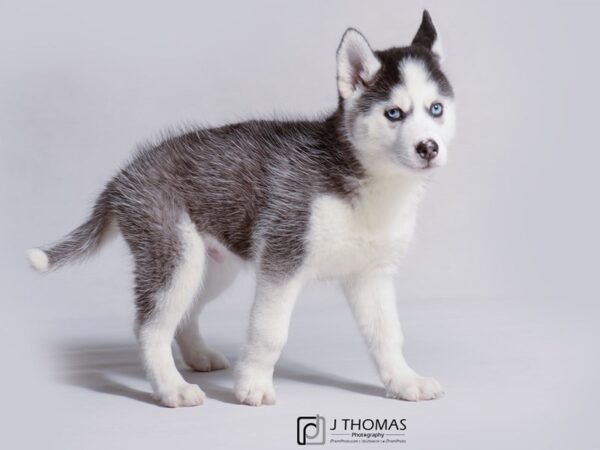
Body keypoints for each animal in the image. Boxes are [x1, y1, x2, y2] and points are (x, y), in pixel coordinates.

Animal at [24, 10, 454, 406]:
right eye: (394, 113)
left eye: (436, 109)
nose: (428, 148)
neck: (368, 179)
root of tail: (121, 176)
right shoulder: (281, 261)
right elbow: (270, 333)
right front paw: (253, 387)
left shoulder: (371, 275)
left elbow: (387, 333)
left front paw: (404, 381)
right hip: (175, 254)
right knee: (150, 327)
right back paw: (172, 388)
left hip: (213, 265)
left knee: (185, 314)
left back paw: (197, 356)